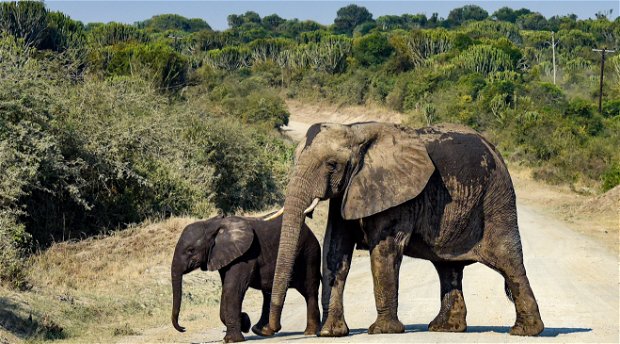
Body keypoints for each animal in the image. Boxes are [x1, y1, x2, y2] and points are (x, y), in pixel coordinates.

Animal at [172, 215, 322, 342]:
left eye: (190, 250)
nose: (183, 328)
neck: (213, 224)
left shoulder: (246, 255)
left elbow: (232, 289)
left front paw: (234, 338)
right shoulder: (225, 255)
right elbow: (226, 289)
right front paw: (244, 321)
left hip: (310, 254)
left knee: (309, 291)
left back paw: (310, 332)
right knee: (269, 292)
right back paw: (262, 331)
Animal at [266, 122, 544, 338]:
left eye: (332, 164)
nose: (270, 330)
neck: (355, 131)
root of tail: (495, 150)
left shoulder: (394, 193)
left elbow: (384, 251)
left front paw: (381, 331)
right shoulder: (347, 192)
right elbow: (335, 250)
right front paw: (330, 333)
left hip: (496, 200)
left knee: (508, 261)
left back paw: (525, 332)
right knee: (448, 268)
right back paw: (445, 328)